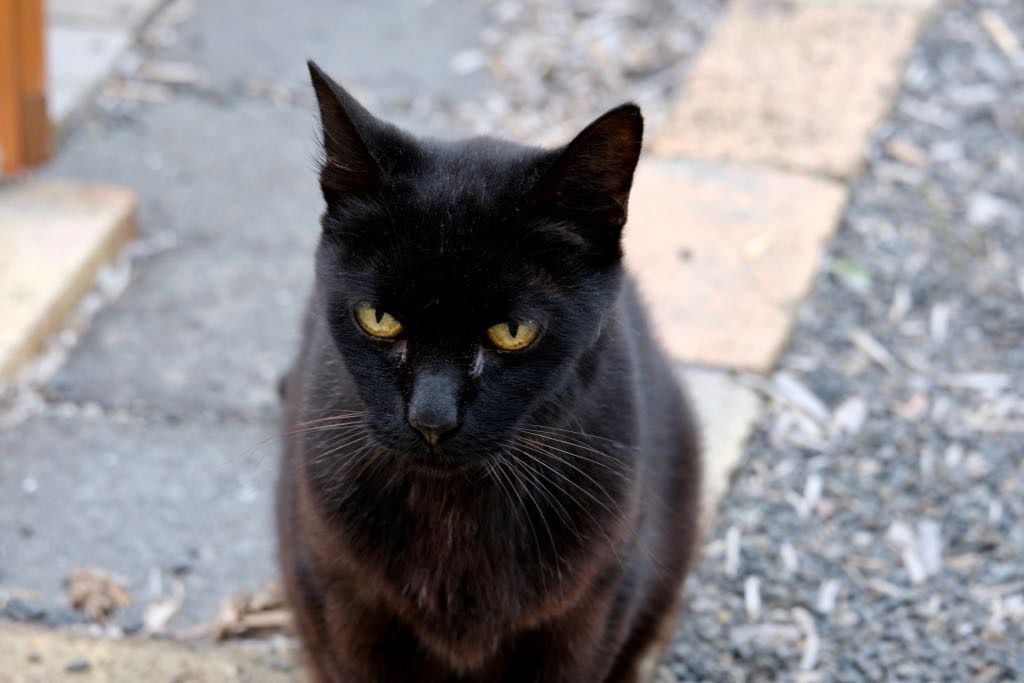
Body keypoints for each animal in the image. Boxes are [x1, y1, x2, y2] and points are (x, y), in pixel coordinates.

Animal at [276, 61, 700, 679]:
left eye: (512, 332)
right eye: (379, 319)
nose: (431, 418)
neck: (454, 515)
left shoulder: (590, 609)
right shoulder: (344, 602)